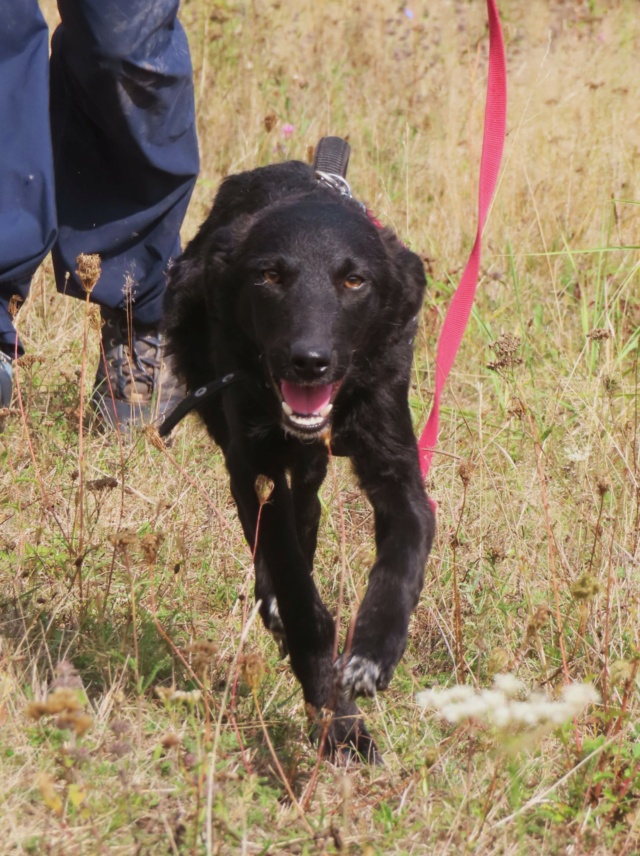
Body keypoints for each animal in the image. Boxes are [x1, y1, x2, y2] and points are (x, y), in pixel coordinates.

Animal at [164, 152, 436, 756]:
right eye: (269, 276)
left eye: (354, 280)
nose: (308, 362)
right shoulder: (254, 466)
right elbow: (294, 587)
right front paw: (339, 724)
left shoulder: (397, 471)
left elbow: (404, 556)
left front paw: (372, 654)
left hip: (308, 462)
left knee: (308, 504)